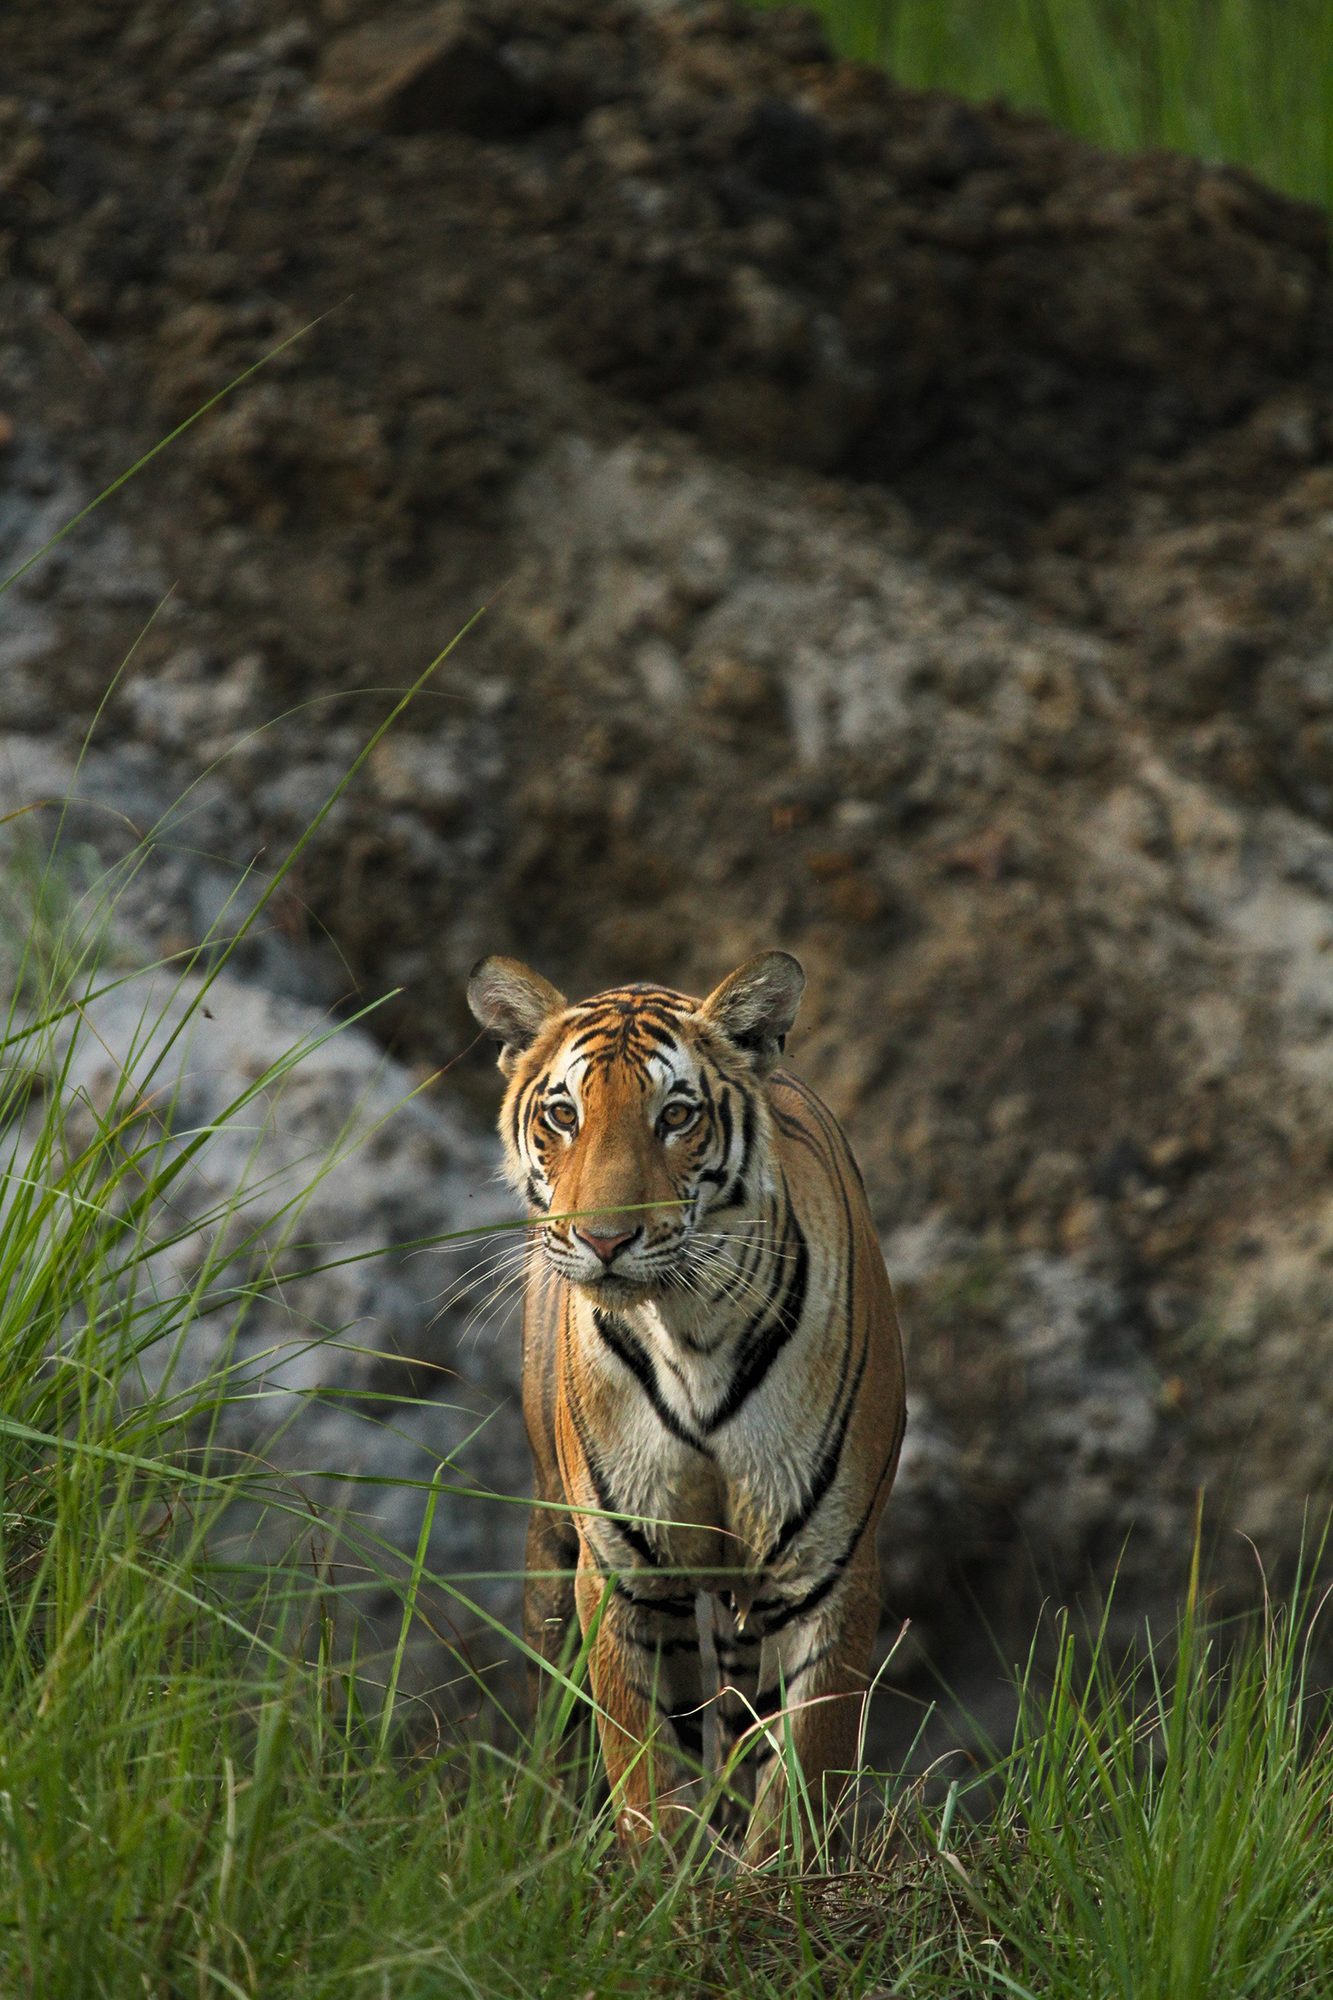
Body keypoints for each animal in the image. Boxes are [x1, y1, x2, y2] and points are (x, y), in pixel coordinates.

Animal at [467, 949, 907, 1859]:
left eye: (675, 1115)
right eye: (562, 1115)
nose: (603, 1239)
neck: (692, 1331)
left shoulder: (828, 1569)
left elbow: (803, 1760)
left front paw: (773, 1874)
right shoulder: (623, 1574)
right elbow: (640, 1757)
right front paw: (657, 1869)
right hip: (557, 1538)